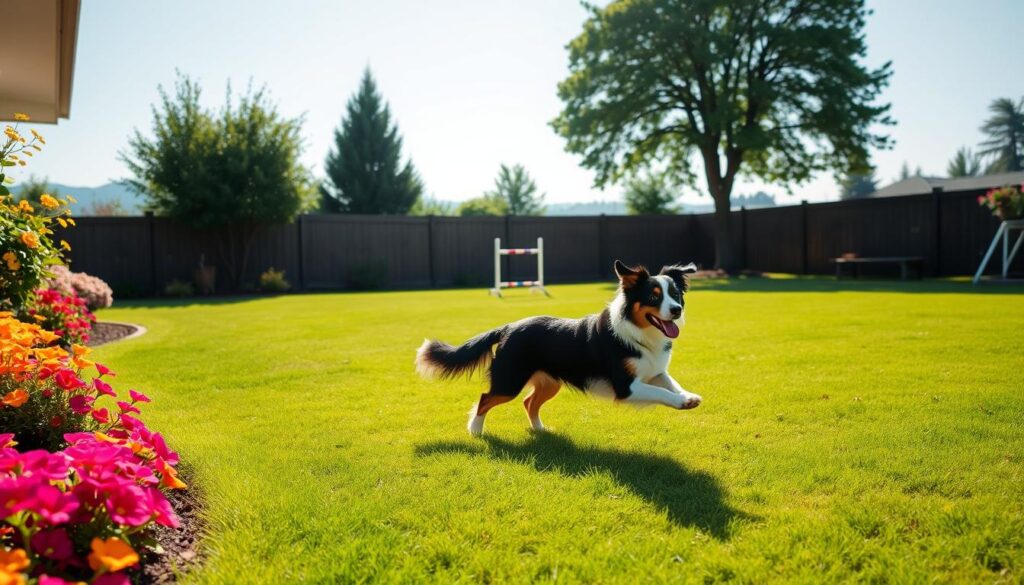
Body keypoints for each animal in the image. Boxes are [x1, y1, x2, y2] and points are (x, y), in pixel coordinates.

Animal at [415, 261, 704, 434]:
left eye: (675, 295)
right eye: (653, 297)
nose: (676, 311)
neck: (639, 332)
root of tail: (508, 327)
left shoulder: (656, 371)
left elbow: (671, 384)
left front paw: (688, 397)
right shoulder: (625, 386)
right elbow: (661, 393)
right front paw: (681, 402)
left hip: (549, 383)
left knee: (529, 402)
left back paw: (540, 430)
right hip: (509, 380)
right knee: (486, 398)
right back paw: (475, 430)